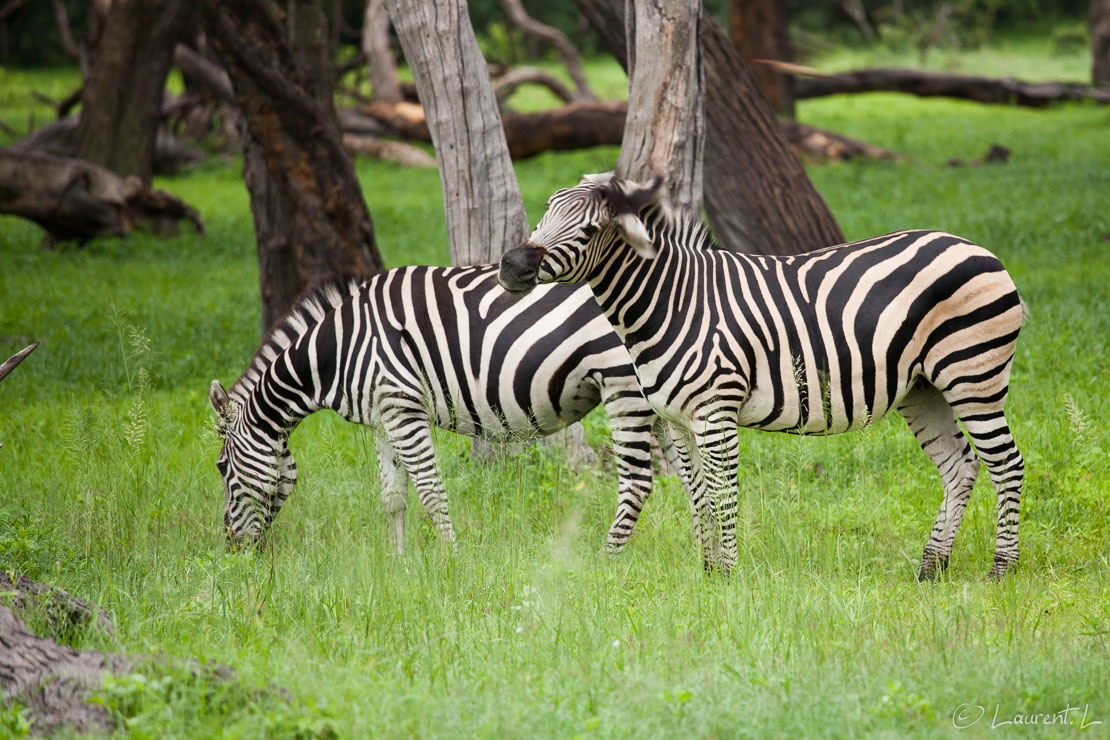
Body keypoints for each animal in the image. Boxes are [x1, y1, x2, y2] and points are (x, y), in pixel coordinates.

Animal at [204, 265, 679, 550]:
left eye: (222, 468)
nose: (230, 545)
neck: (339, 350)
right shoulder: (383, 420)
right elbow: (393, 498)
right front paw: (398, 568)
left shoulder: (403, 408)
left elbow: (431, 491)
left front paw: (452, 560)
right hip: (658, 390)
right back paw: (694, 556)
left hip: (621, 382)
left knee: (639, 481)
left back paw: (608, 557)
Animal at [499, 174, 1025, 576]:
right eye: (545, 213)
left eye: (589, 230)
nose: (511, 265)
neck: (673, 300)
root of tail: (976, 247)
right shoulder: (675, 419)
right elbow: (699, 496)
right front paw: (707, 571)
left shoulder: (716, 413)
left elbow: (723, 492)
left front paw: (729, 574)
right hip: (923, 389)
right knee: (960, 466)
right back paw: (931, 567)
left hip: (973, 377)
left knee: (1007, 463)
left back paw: (1001, 570)